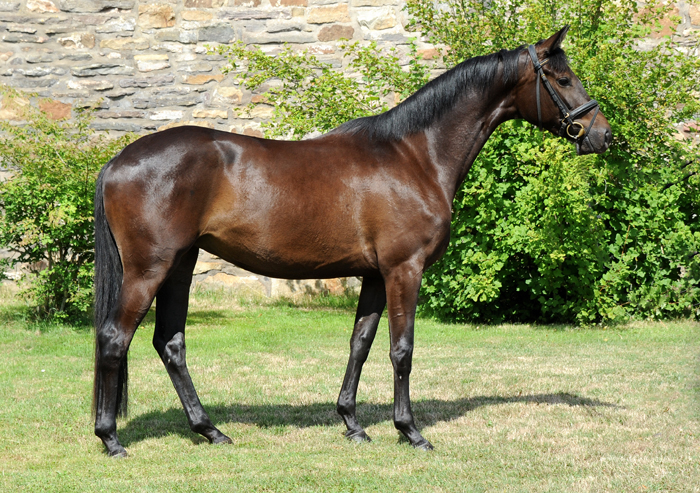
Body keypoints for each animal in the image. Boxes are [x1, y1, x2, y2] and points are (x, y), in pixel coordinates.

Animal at [94, 26, 612, 456]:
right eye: (562, 78)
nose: (602, 135)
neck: (414, 156)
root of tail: (117, 161)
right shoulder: (405, 269)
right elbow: (401, 349)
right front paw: (410, 431)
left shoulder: (375, 276)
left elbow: (360, 343)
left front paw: (352, 423)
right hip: (150, 268)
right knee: (115, 338)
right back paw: (111, 439)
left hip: (180, 265)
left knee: (170, 343)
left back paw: (210, 430)